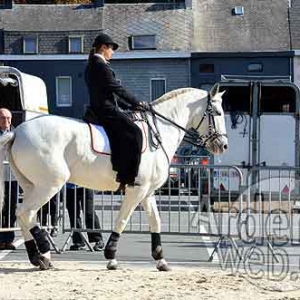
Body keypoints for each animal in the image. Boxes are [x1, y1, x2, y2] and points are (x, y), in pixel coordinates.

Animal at [0, 86, 226, 270]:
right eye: (218, 112)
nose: (223, 146)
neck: (159, 131)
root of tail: (17, 132)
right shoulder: (137, 190)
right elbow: (122, 220)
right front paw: (111, 256)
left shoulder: (148, 192)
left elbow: (156, 221)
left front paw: (161, 260)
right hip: (50, 185)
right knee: (26, 213)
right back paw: (43, 256)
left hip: (31, 185)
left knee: (23, 215)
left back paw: (38, 256)